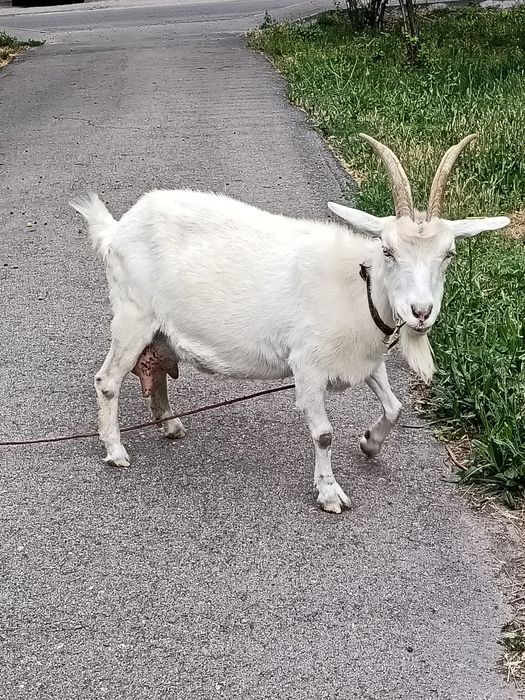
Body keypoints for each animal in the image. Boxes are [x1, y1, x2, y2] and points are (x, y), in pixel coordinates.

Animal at [72, 134, 509, 513]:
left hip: (158, 328)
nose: (420, 312)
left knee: (157, 368)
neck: (359, 286)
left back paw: (170, 424)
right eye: (388, 250)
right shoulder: (308, 365)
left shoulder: (367, 359)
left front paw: (369, 443)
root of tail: (117, 229)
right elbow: (324, 433)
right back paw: (115, 450)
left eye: (449, 254)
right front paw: (330, 494)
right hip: (133, 316)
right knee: (107, 380)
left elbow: (395, 407)